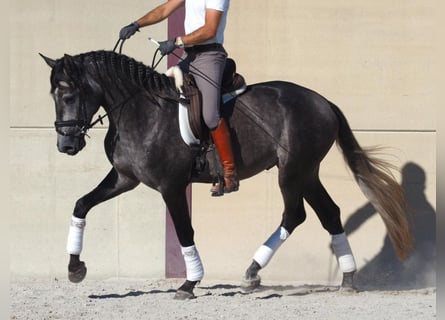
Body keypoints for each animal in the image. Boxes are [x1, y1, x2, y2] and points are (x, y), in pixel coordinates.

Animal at [39, 50, 412, 300]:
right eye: (54, 95)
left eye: (70, 93)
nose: (66, 144)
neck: (141, 109)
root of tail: (324, 102)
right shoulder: (123, 178)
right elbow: (81, 204)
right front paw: (75, 269)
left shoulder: (171, 186)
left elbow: (184, 230)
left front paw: (189, 283)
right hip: (306, 173)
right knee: (327, 214)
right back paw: (344, 279)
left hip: (293, 172)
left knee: (295, 214)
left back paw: (254, 272)